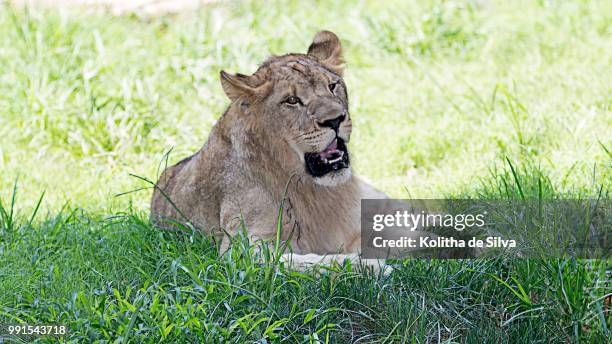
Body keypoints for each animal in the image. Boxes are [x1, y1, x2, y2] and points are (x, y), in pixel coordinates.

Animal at [151, 30, 404, 272]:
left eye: (333, 86)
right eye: (292, 100)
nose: (335, 120)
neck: (312, 188)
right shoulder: (241, 251)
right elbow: (308, 263)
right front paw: (369, 266)